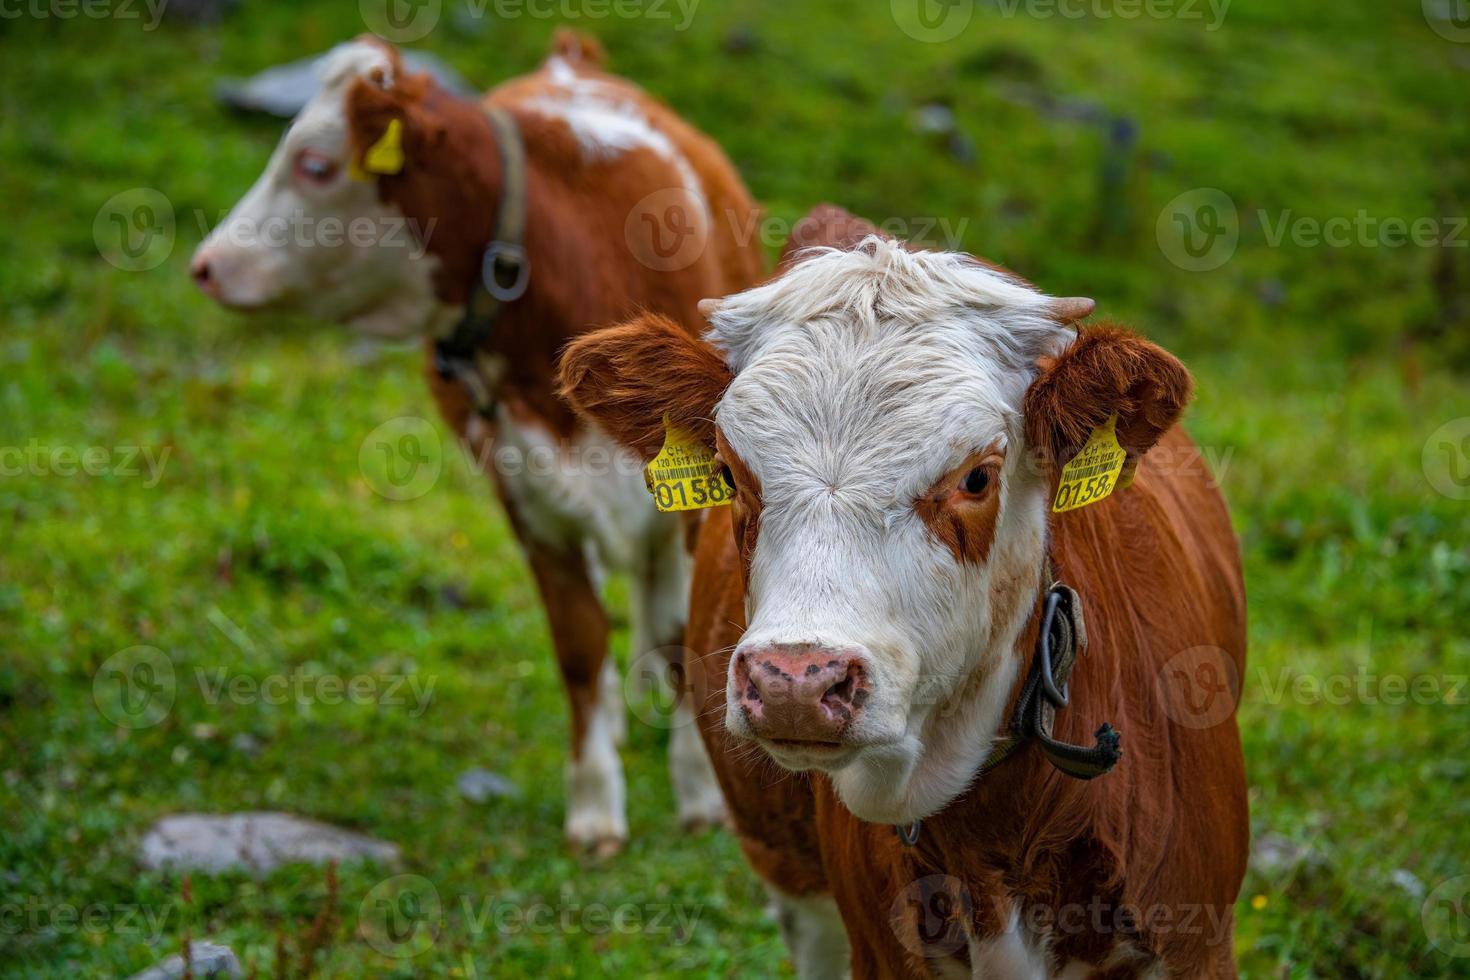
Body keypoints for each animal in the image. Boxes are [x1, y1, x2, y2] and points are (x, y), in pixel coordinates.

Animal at [189, 30, 758, 852]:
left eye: (316, 164)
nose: (204, 264)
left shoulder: (692, 499)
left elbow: (684, 632)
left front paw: (701, 790)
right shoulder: (527, 496)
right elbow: (578, 642)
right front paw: (594, 804)